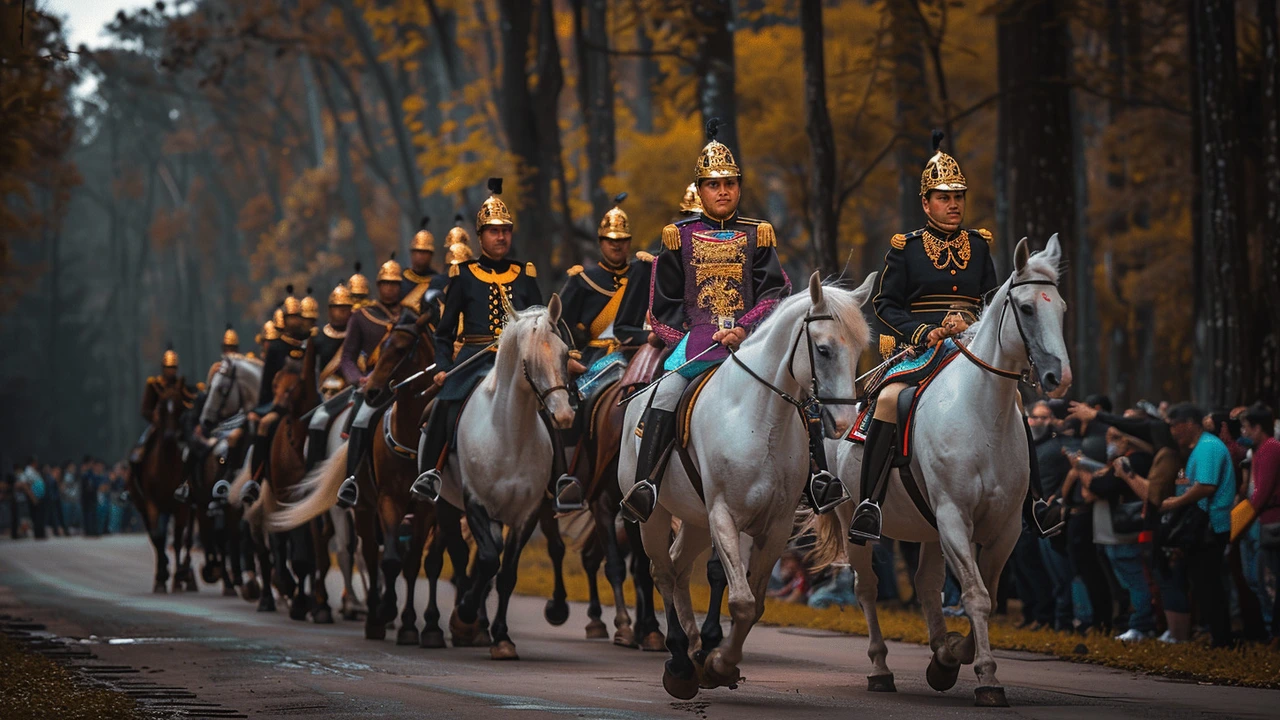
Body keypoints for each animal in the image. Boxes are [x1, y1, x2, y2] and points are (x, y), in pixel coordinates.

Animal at [129, 379, 192, 591]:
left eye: (180, 407)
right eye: (162, 407)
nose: (171, 436)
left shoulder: (181, 506)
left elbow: (179, 539)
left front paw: (178, 577)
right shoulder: (151, 503)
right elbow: (158, 537)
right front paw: (162, 575)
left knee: (185, 538)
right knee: (156, 536)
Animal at [442, 294, 578, 661]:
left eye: (564, 353)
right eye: (528, 361)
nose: (563, 415)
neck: (509, 435)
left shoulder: (525, 514)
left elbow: (505, 574)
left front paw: (501, 637)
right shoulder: (475, 503)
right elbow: (488, 560)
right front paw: (465, 614)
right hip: (444, 506)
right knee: (462, 554)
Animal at [616, 272, 870, 696]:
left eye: (860, 349)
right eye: (823, 349)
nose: (841, 423)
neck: (761, 420)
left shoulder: (776, 526)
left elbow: (756, 603)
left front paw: (719, 661)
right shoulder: (723, 517)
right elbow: (741, 600)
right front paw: (719, 663)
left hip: (695, 520)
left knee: (679, 568)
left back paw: (694, 649)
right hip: (656, 516)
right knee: (663, 572)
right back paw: (680, 661)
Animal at [808, 234, 1070, 702]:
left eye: (1061, 308)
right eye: (1025, 309)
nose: (1059, 377)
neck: (983, 412)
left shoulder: (1004, 527)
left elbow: (987, 594)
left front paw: (950, 656)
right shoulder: (953, 515)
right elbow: (976, 596)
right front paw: (985, 676)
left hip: (927, 525)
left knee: (926, 583)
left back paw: (938, 652)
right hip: (857, 517)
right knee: (867, 587)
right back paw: (880, 669)